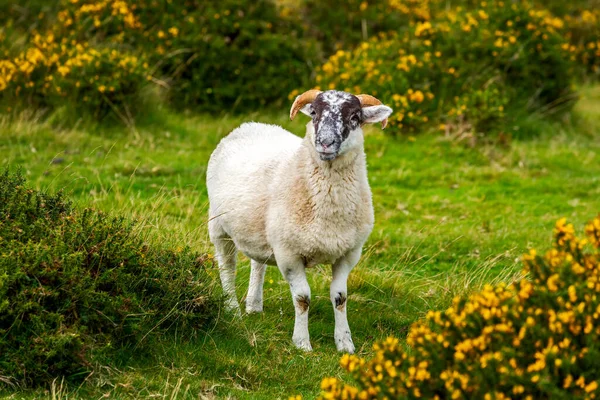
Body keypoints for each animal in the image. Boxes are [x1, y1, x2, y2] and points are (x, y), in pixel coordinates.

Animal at [206, 90, 394, 354]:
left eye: (355, 117)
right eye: (314, 113)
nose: (325, 142)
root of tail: (250, 124)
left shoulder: (348, 253)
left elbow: (340, 297)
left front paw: (345, 343)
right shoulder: (289, 254)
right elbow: (302, 298)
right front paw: (302, 343)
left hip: (259, 229)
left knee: (258, 264)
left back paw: (254, 305)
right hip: (219, 228)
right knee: (227, 268)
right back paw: (233, 310)